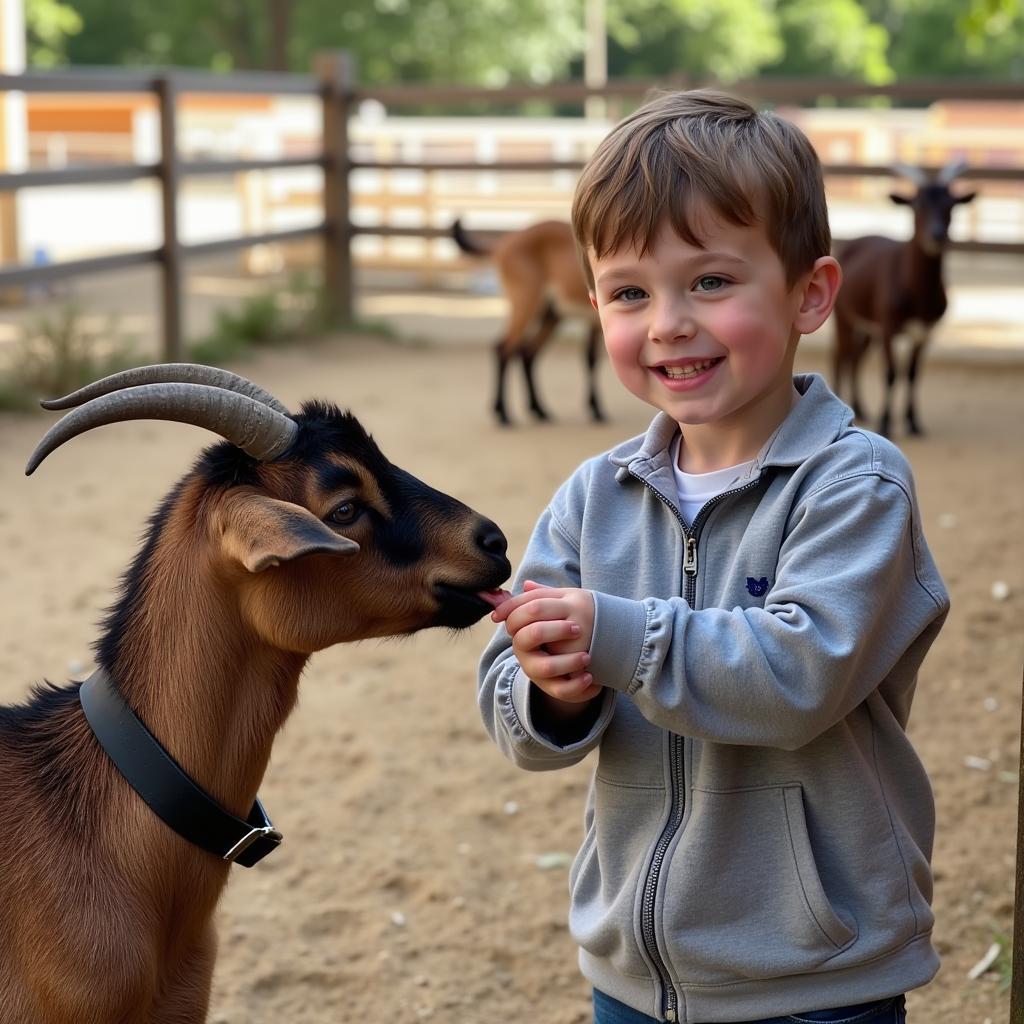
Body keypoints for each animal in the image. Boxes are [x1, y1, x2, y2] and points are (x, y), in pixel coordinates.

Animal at [452, 218, 602, 425]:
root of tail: (505, 242)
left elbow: (593, 358)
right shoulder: (596, 321)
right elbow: (592, 359)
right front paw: (597, 410)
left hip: (550, 316)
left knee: (528, 352)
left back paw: (539, 410)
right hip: (526, 306)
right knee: (504, 347)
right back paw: (504, 414)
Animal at [831, 159, 974, 436]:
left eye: (951, 204)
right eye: (917, 204)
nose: (936, 235)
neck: (917, 293)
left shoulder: (925, 332)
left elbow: (913, 373)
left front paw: (913, 422)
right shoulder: (889, 327)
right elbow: (890, 372)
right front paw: (885, 423)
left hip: (869, 328)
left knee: (856, 357)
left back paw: (860, 408)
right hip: (844, 318)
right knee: (840, 355)